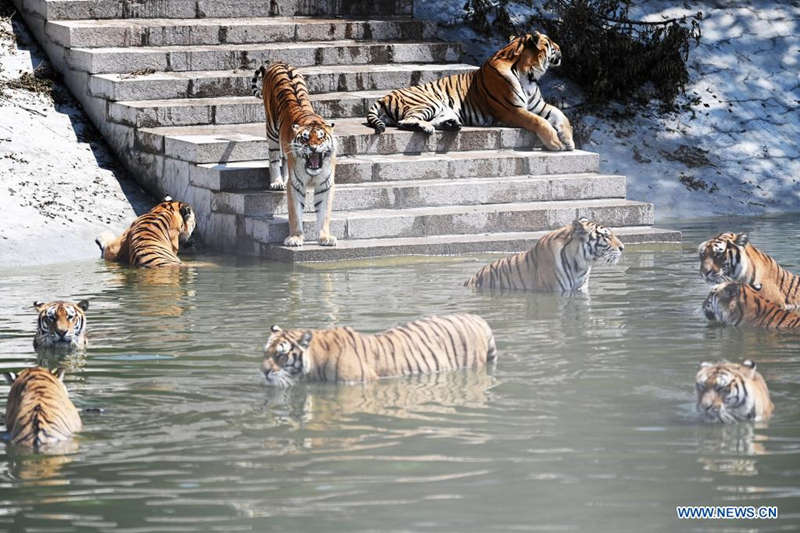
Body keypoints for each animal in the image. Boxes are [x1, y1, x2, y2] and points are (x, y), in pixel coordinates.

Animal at [251, 61, 337, 247]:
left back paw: (282, 180)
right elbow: (295, 213)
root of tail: (278, 62)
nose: (313, 148)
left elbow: (324, 213)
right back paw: (277, 182)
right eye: (305, 138)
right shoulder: (296, 185)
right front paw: (295, 238)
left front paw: (325, 237)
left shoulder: (325, 185)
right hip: (272, 131)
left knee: (283, 159)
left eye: (321, 137)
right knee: (274, 159)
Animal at [366, 32, 574, 151]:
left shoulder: (539, 105)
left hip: (444, 108)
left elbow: (561, 116)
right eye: (551, 42)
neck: (530, 75)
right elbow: (538, 121)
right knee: (405, 121)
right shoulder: (511, 109)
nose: (561, 47)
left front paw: (569, 142)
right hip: (429, 102)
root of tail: (386, 96)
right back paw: (427, 128)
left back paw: (452, 125)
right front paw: (555, 144)